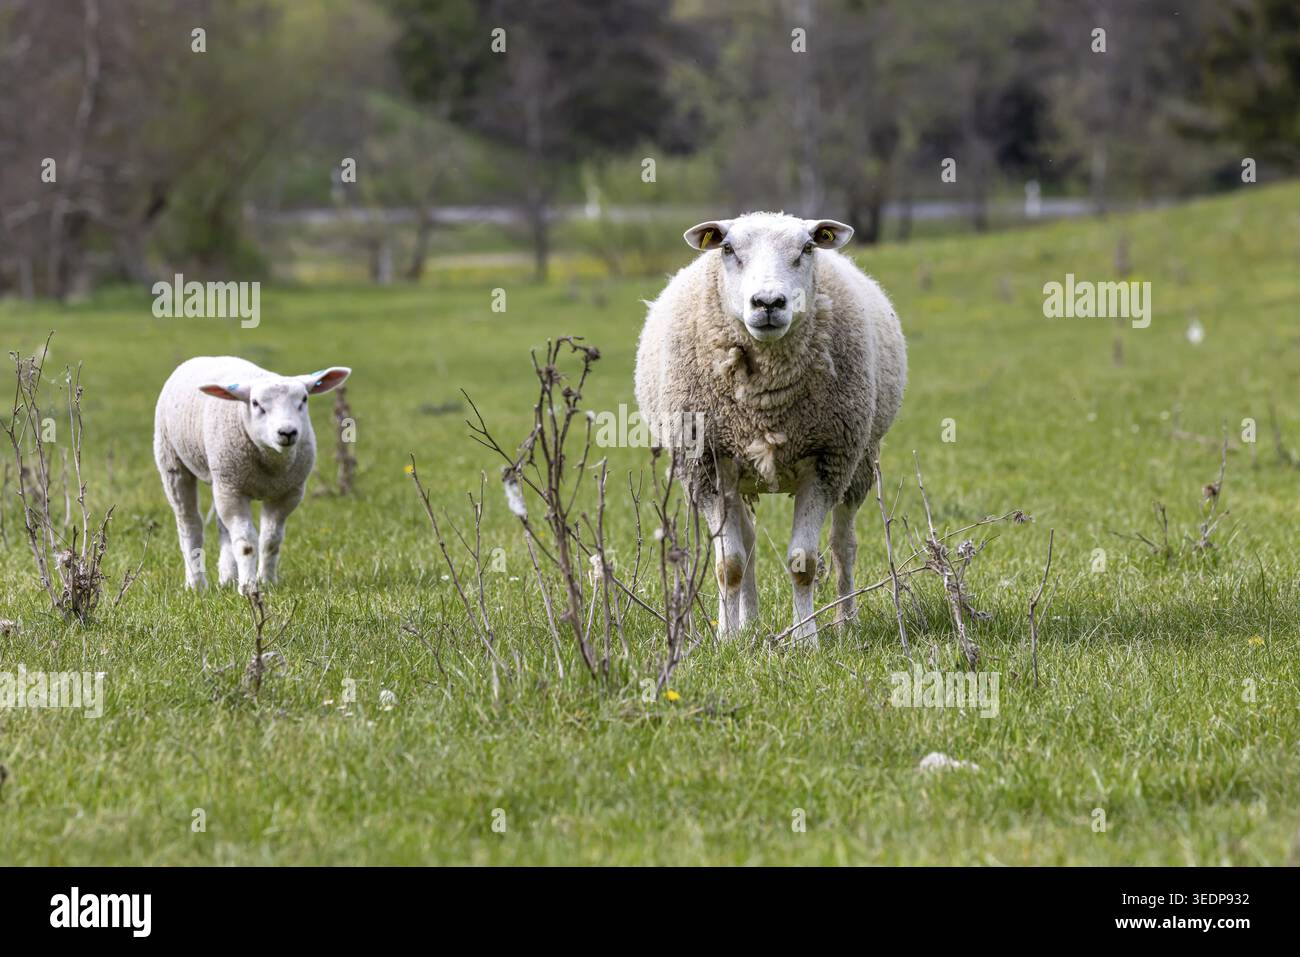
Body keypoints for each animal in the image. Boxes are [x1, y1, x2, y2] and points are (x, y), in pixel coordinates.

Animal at [153, 357, 351, 593]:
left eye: (304, 399)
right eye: (256, 404)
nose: (287, 432)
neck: (271, 465)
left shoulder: (287, 494)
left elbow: (271, 540)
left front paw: (267, 581)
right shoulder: (234, 490)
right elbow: (246, 543)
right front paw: (248, 587)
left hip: (221, 479)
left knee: (223, 529)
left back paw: (227, 578)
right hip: (173, 461)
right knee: (190, 524)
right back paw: (196, 584)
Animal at [634, 212, 906, 644]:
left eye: (807, 248)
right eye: (728, 249)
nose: (767, 303)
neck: (765, 404)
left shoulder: (827, 460)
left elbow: (804, 562)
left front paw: (806, 640)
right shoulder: (707, 465)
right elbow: (728, 563)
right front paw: (727, 640)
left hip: (860, 461)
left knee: (843, 543)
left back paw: (846, 620)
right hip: (739, 473)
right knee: (747, 545)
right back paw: (747, 624)